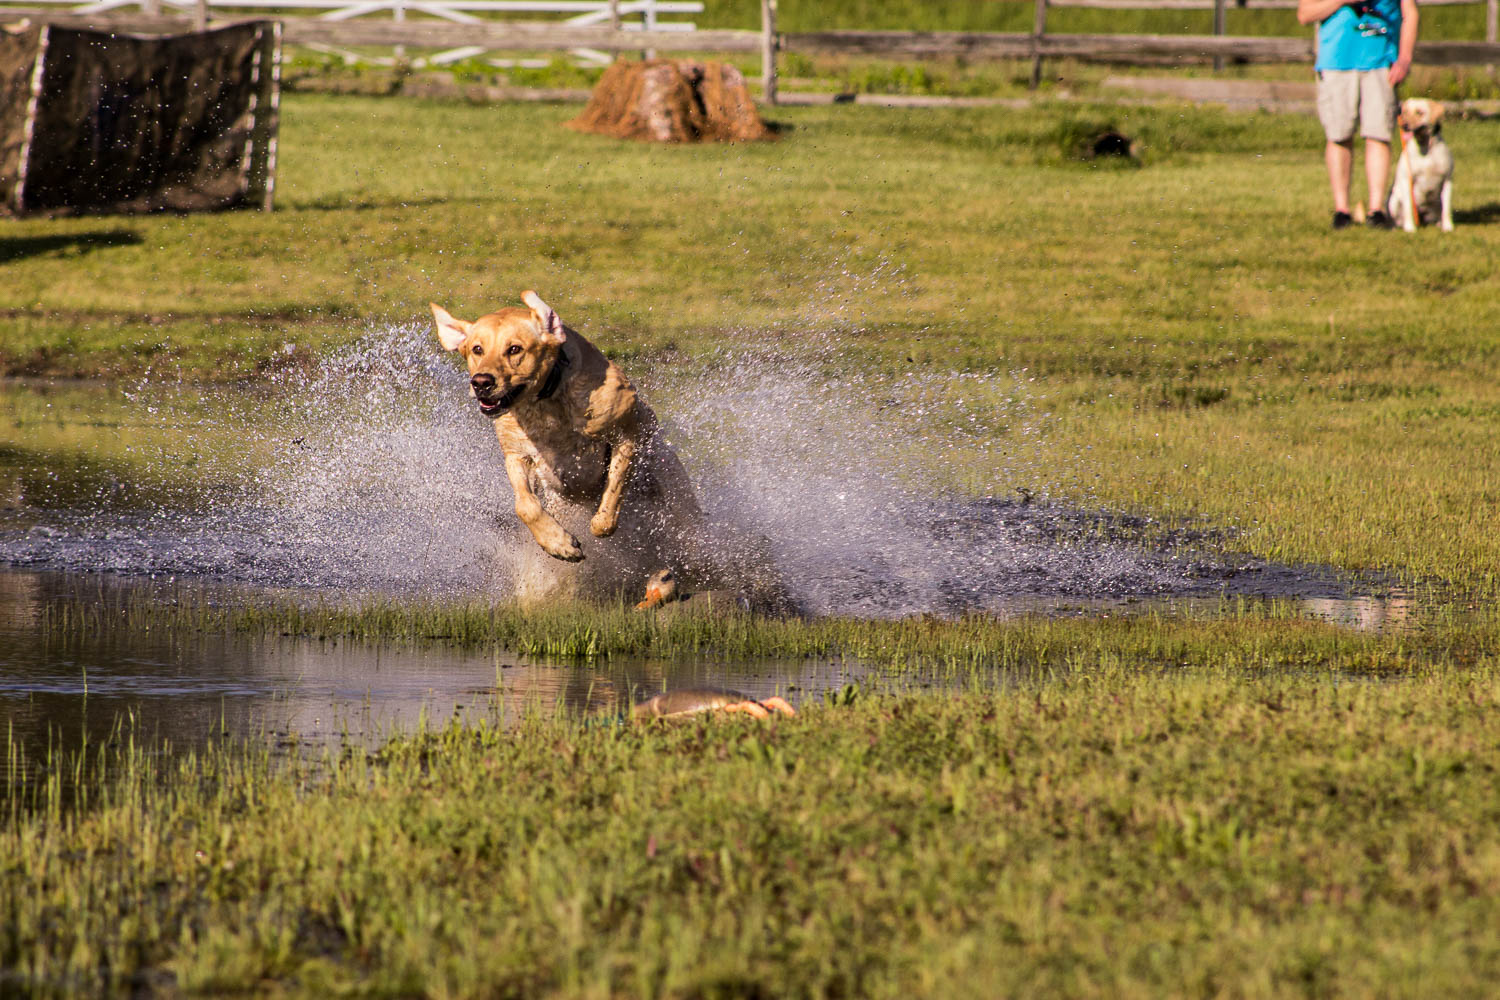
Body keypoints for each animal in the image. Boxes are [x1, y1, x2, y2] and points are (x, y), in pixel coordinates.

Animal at [1386, 98, 1458, 235]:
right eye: (1405, 112)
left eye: (1419, 112)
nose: (1404, 125)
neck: (1425, 147)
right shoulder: (1407, 180)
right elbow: (1408, 206)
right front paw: (1410, 228)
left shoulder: (1447, 181)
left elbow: (1446, 208)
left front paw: (1447, 226)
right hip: (1394, 201)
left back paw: (1439, 223)